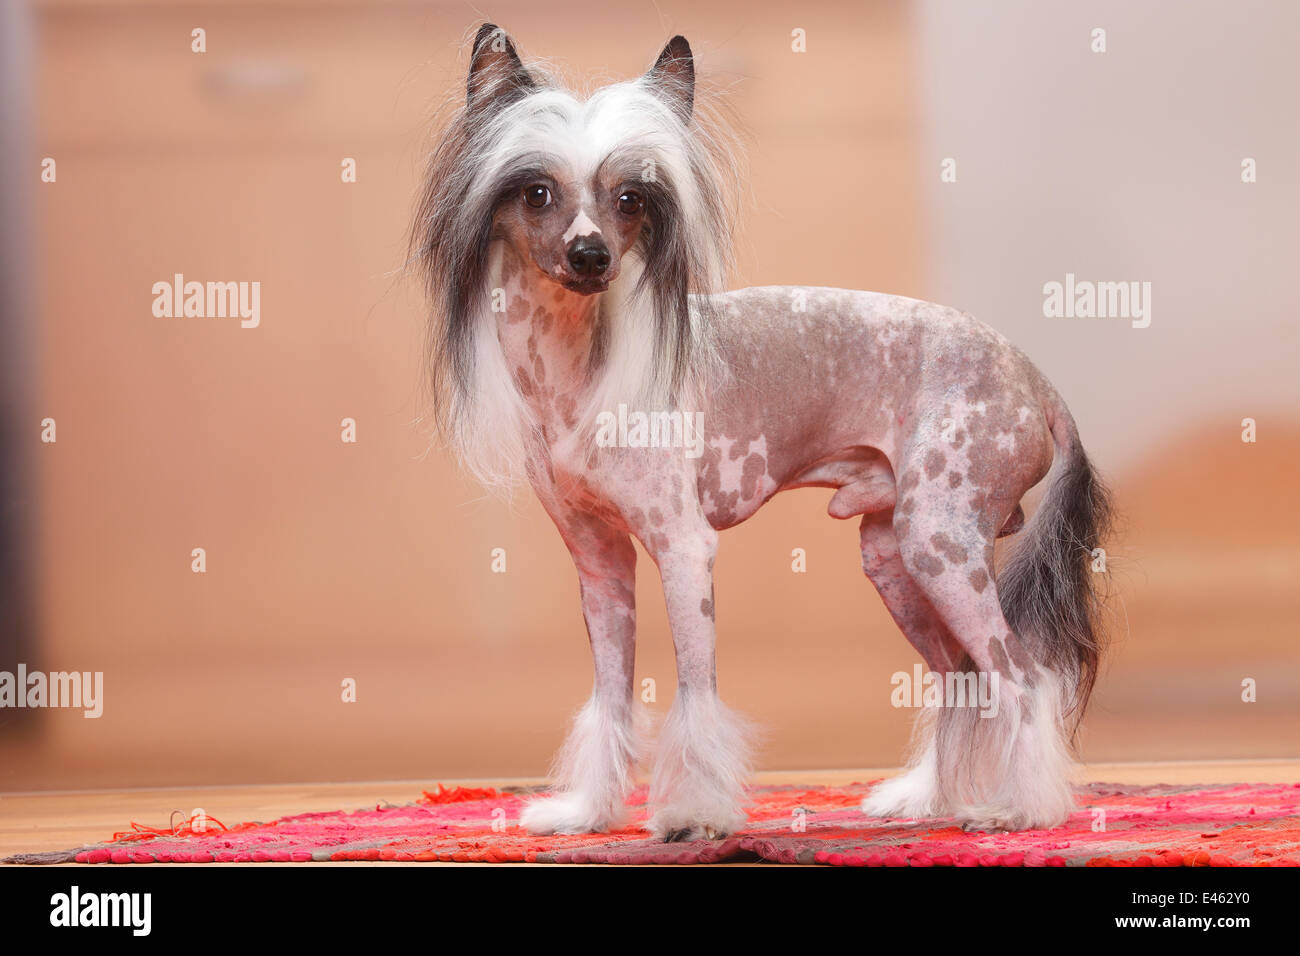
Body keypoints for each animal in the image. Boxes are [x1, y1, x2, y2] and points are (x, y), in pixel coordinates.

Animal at [410, 26, 1112, 842]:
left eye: (629, 198)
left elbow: (695, 694)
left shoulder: (683, 549)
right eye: (536, 193)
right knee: (961, 676)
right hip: (894, 554)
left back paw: (1022, 809)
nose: (591, 256)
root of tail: (1036, 379)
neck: (574, 371)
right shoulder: (599, 564)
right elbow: (609, 698)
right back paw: (926, 799)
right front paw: (587, 810)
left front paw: (695, 816)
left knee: (1020, 676)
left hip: (942, 542)